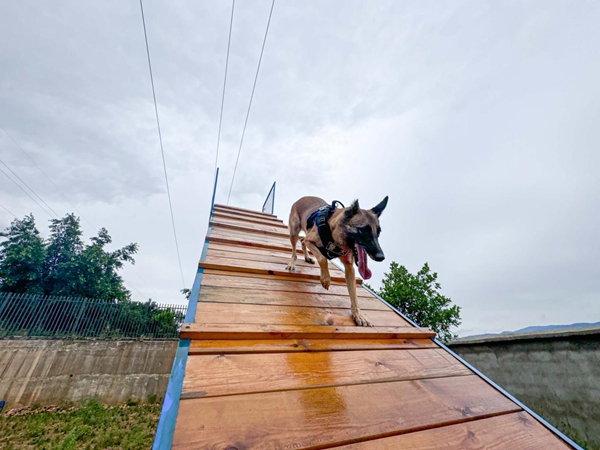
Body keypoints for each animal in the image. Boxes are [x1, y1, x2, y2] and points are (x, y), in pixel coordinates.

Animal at [285, 196, 388, 326]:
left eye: (378, 233)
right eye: (363, 230)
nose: (381, 257)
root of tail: (302, 198)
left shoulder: (350, 268)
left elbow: (354, 294)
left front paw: (358, 315)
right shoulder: (311, 241)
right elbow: (323, 259)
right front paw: (326, 279)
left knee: (302, 240)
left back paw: (307, 257)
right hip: (293, 232)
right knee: (295, 248)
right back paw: (292, 263)